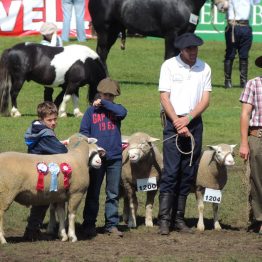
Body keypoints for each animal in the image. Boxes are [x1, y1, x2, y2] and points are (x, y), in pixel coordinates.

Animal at [88, 0, 227, 67]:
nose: (224, 6)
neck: (183, 2)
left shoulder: (187, 34)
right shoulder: (172, 34)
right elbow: (169, 56)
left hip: (113, 31)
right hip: (105, 31)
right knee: (102, 52)